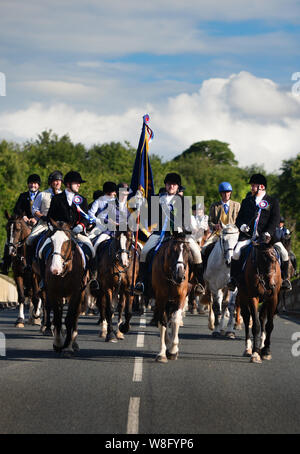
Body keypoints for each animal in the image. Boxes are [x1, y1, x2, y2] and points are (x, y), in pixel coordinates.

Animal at [44, 222, 87, 352]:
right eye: (51, 241)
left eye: (67, 241)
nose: (55, 269)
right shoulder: (53, 293)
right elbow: (58, 318)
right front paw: (58, 343)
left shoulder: (75, 293)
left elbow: (69, 319)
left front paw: (67, 345)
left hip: (80, 294)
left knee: (75, 316)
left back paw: (73, 342)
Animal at [152, 232, 190, 364]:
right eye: (173, 251)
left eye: (187, 251)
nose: (180, 275)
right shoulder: (160, 299)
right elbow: (162, 323)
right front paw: (162, 353)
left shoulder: (180, 298)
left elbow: (175, 320)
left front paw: (173, 350)